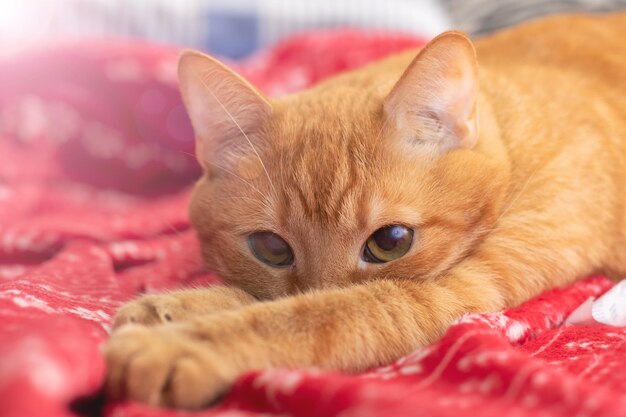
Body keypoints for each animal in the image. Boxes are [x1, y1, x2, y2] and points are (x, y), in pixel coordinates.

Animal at [105, 12, 624, 406]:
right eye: (271, 248)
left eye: (390, 243)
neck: (510, 147)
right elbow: (270, 299)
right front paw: (175, 307)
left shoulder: (454, 291)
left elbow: (320, 314)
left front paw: (175, 345)